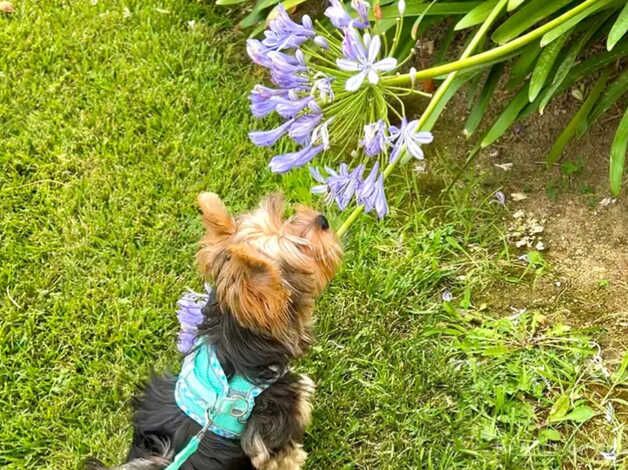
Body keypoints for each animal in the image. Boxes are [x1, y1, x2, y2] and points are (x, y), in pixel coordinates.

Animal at [87, 192, 344, 470]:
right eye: (304, 250)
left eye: (283, 218)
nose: (322, 219)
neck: (233, 343)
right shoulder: (277, 421)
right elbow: (285, 455)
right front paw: (299, 457)